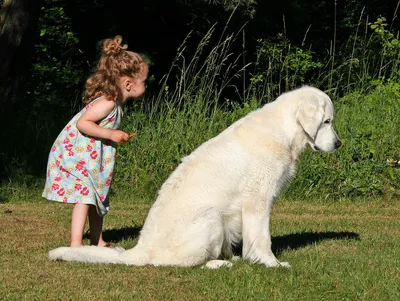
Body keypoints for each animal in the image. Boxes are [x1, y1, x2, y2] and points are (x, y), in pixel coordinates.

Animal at [47, 85, 340, 268]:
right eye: (327, 121)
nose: (338, 144)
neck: (284, 131)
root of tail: (140, 250)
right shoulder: (258, 202)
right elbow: (262, 239)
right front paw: (271, 264)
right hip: (210, 218)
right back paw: (218, 263)